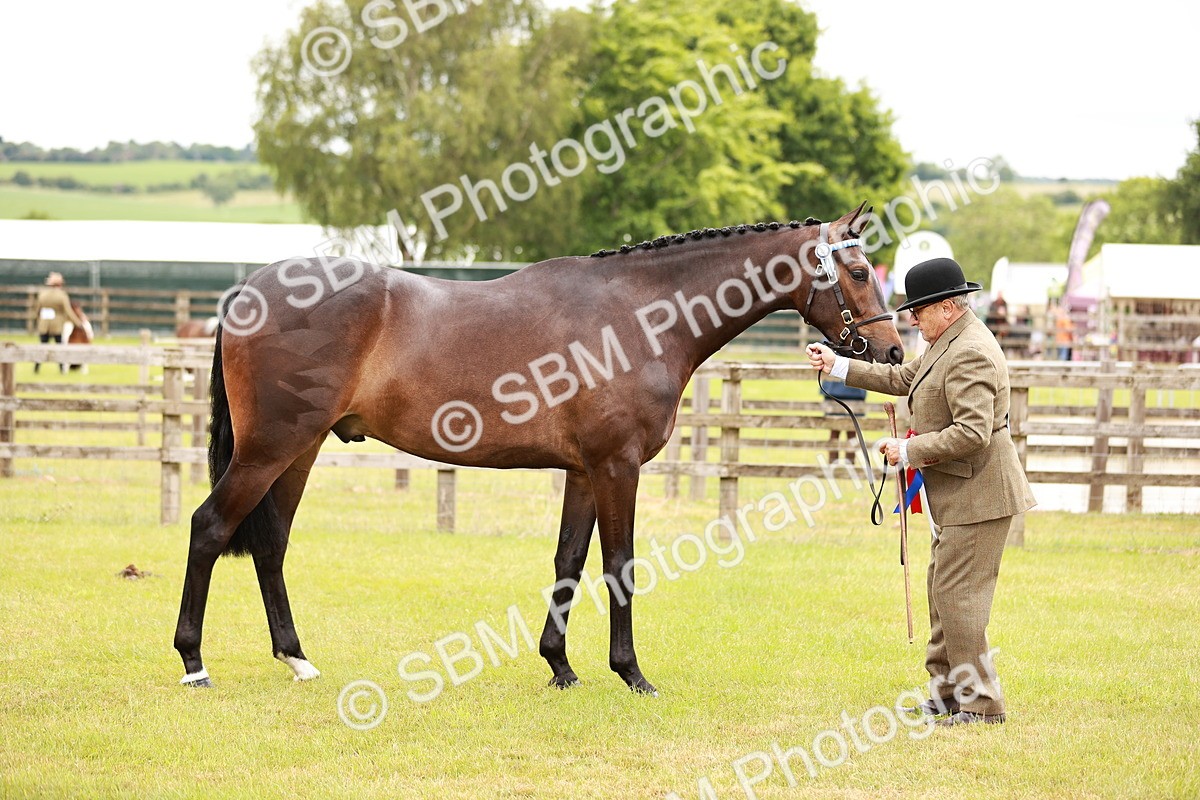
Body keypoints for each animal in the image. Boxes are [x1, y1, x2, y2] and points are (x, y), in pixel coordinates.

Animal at [174, 203, 904, 692]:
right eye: (858, 270)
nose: (895, 351)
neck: (638, 316)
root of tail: (250, 289)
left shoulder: (583, 472)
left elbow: (568, 561)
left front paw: (560, 667)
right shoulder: (617, 468)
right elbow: (618, 565)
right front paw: (631, 673)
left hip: (298, 452)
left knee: (270, 545)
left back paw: (296, 658)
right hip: (269, 449)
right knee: (209, 527)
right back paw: (194, 662)